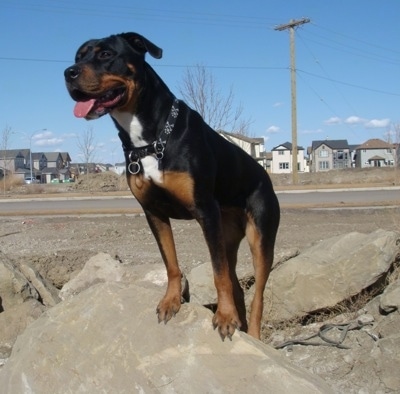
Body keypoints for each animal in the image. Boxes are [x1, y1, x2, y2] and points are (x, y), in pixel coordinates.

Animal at [64, 32, 280, 340]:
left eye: (106, 54)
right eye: (78, 57)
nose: (68, 73)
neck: (151, 139)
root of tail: (266, 177)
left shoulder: (206, 212)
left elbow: (218, 274)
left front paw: (225, 317)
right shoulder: (154, 213)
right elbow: (171, 264)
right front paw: (171, 302)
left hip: (260, 237)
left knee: (257, 293)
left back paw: (251, 332)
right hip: (227, 237)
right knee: (235, 282)